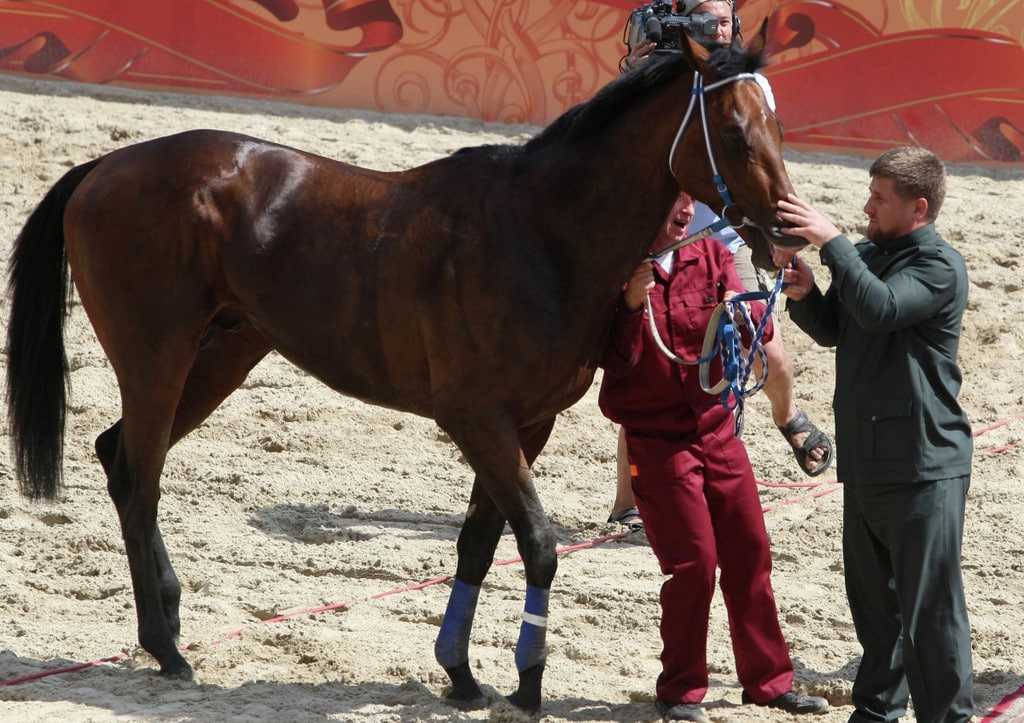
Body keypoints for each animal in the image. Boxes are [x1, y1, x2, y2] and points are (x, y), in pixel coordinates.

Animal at [4, 26, 798, 708]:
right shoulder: (477, 418)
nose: (787, 232)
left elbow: (479, 543)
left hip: (220, 355)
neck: (540, 232)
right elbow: (539, 544)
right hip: (157, 357)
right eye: (734, 133)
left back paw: (166, 620)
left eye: (777, 126)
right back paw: (166, 647)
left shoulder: (526, 425)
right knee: (141, 479)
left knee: (119, 457)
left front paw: (462, 673)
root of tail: (105, 166)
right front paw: (528, 682)